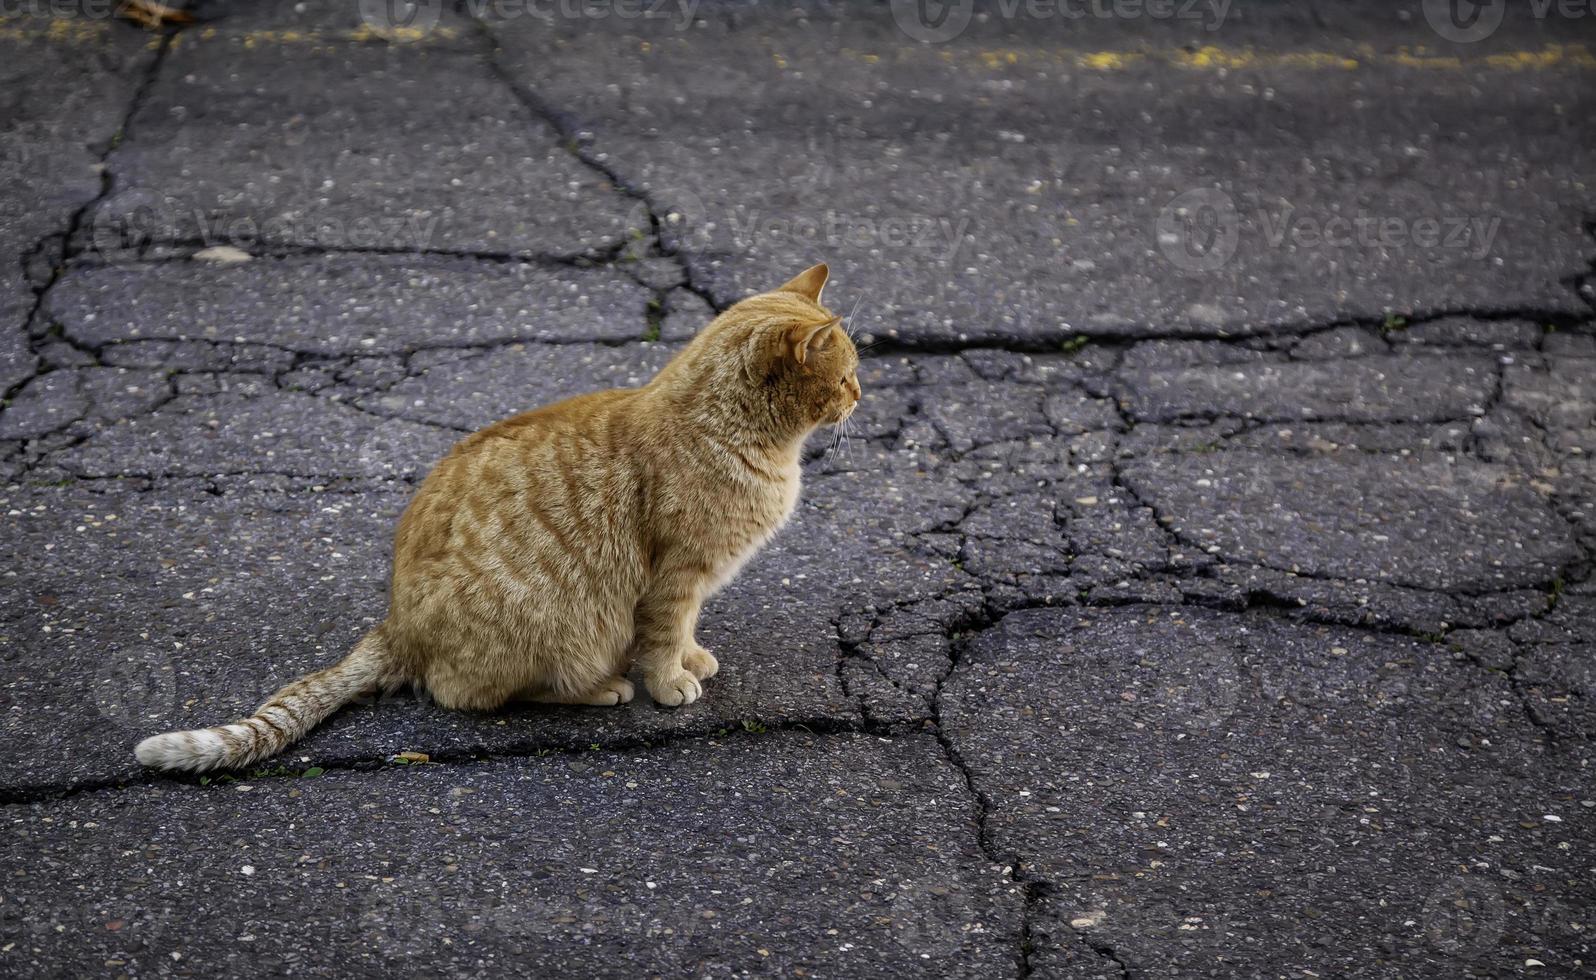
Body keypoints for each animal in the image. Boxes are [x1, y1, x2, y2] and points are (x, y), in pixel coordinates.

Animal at [137, 264, 861, 772]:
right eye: (847, 375)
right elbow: (661, 639)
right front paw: (669, 682)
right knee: (470, 694)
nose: (861, 396)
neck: (737, 435)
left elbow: (683, 632)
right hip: (558, 624)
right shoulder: (675, 577)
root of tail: (395, 626)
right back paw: (600, 689)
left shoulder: (692, 584)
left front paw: (693, 659)